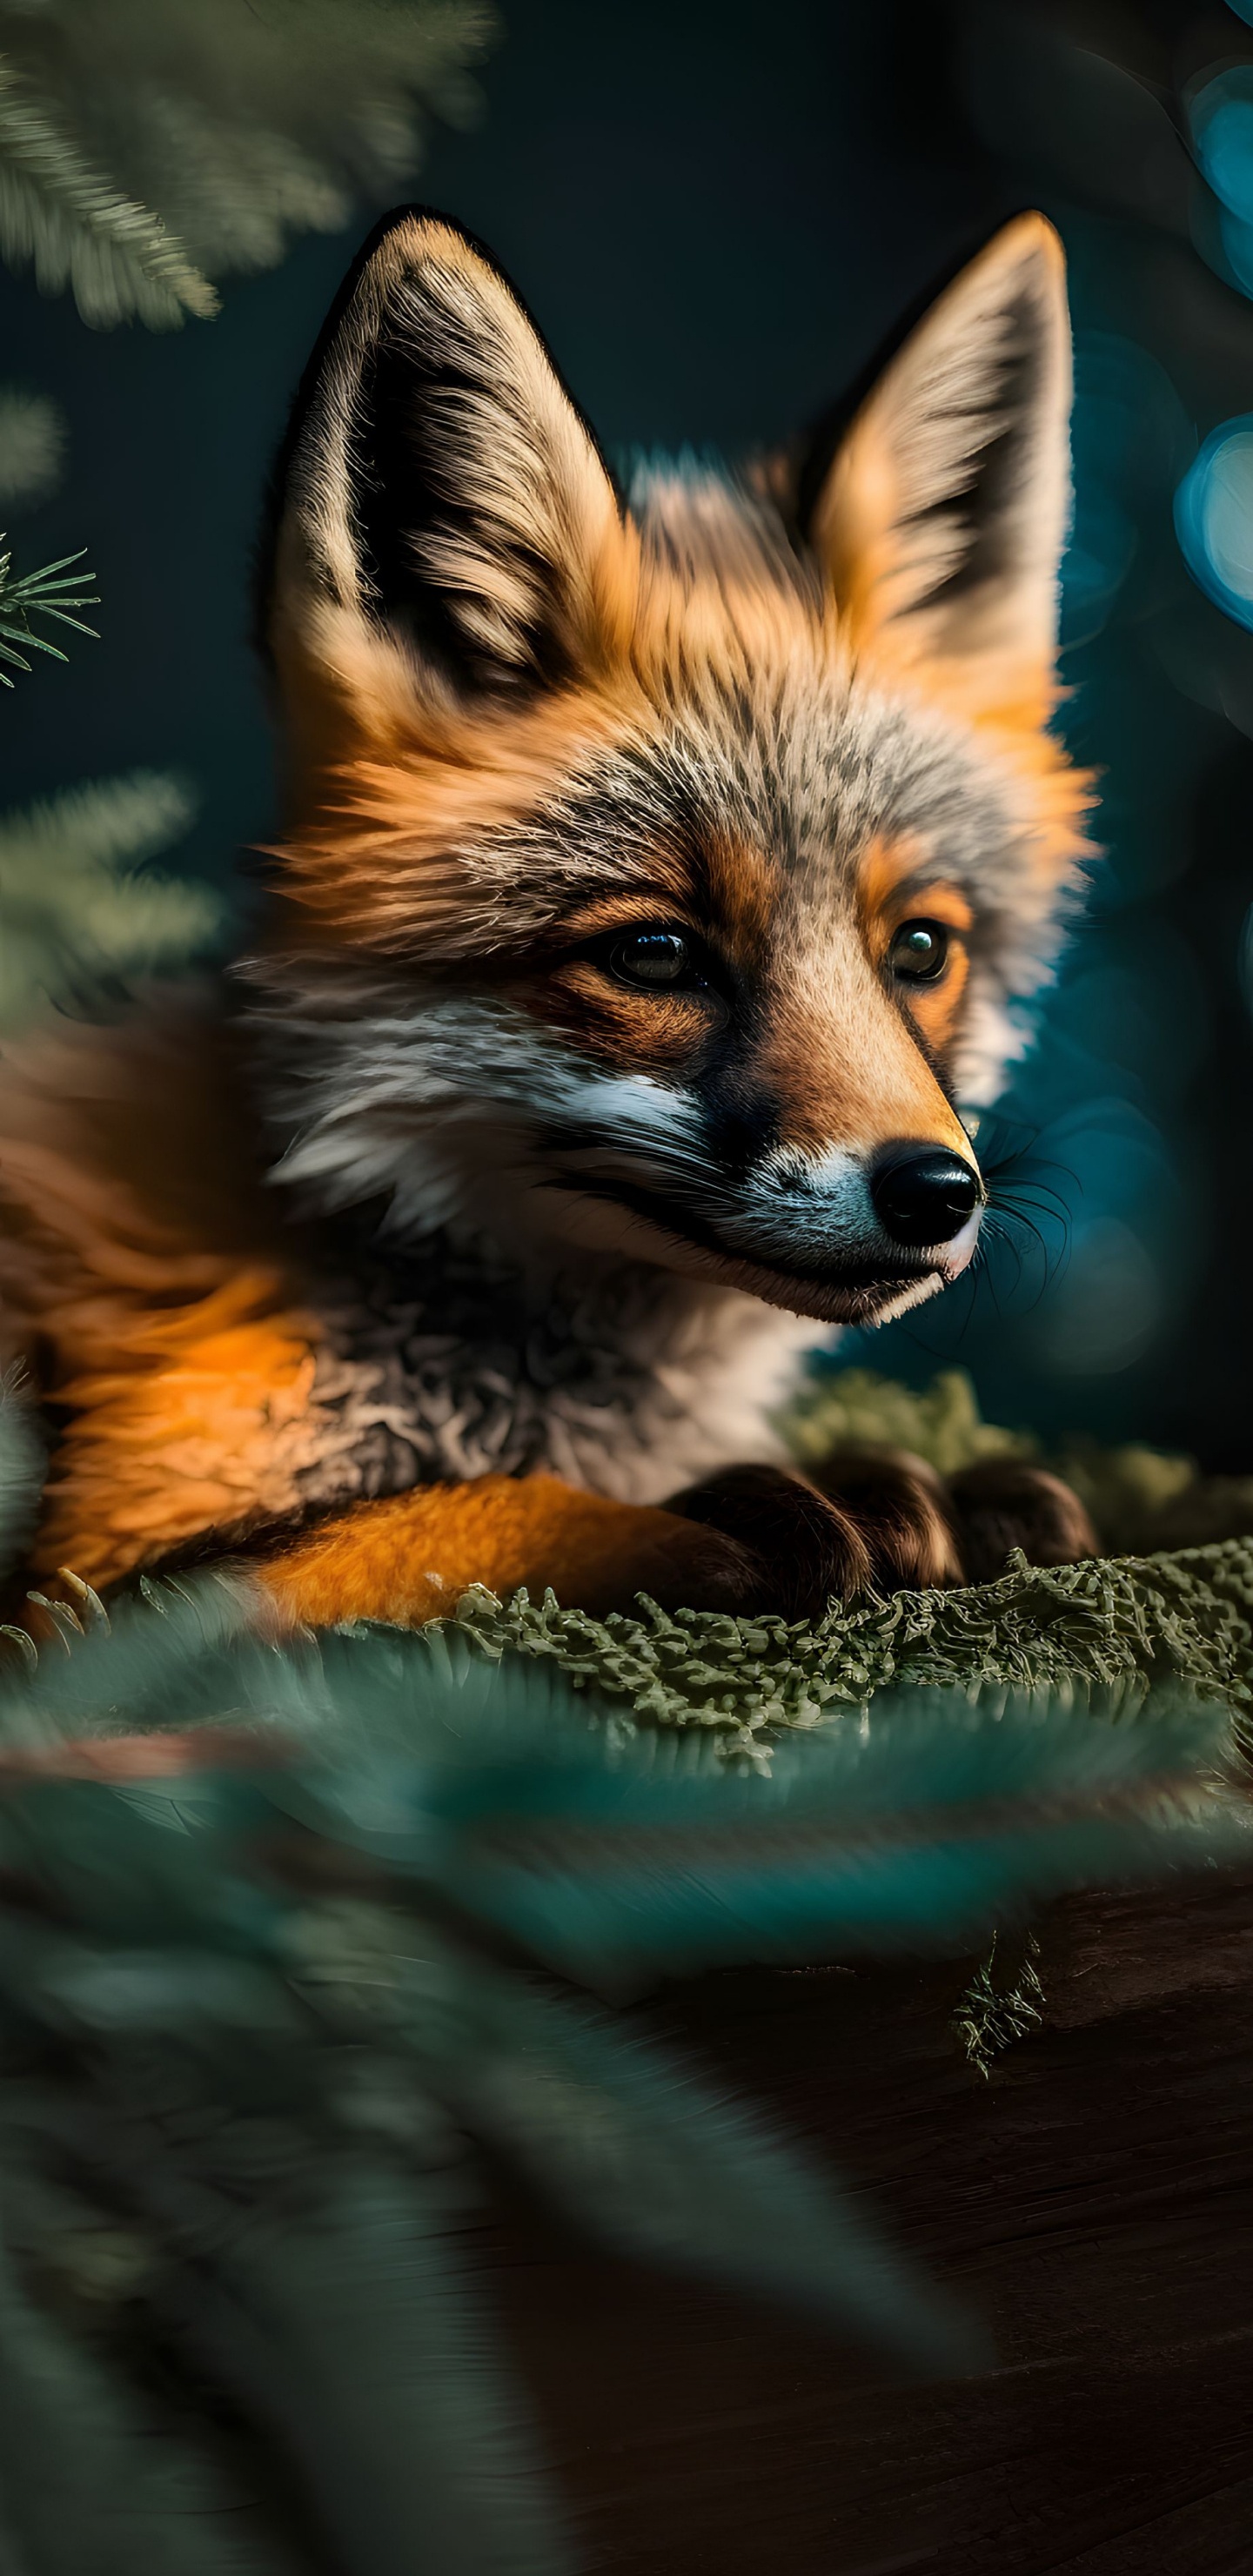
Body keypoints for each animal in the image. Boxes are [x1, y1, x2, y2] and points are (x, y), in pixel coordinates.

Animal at [0, 205, 1099, 1635]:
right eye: (654, 952)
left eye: (920, 949)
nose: (936, 1193)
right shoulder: (97, 1608)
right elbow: (481, 1509)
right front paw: (751, 1511)